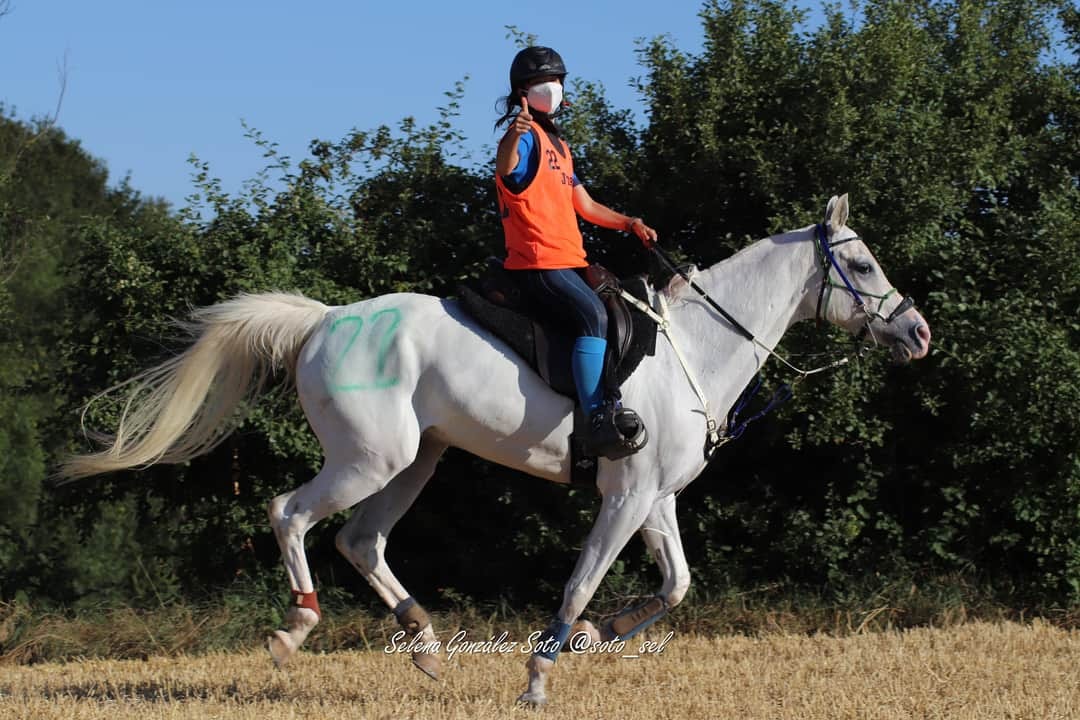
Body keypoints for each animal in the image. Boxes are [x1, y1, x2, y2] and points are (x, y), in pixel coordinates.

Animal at [65, 195, 928, 703]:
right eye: (860, 263)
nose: (918, 332)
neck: (699, 346)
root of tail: (324, 321)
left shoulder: (655, 498)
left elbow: (677, 585)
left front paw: (599, 636)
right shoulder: (624, 497)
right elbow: (581, 582)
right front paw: (542, 672)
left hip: (415, 461)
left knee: (361, 539)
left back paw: (423, 644)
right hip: (367, 460)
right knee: (291, 514)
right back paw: (296, 629)